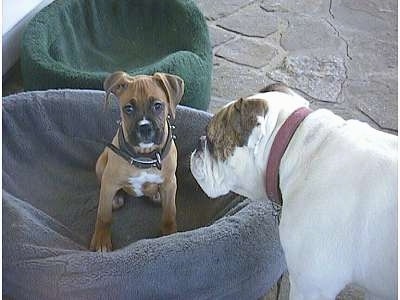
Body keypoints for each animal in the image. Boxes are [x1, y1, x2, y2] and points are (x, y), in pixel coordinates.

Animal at [90, 71, 183, 252]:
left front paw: (169, 234)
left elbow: (170, 213)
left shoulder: (170, 183)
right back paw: (117, 198)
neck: (145, 156)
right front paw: (101, 240)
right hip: (101, 164)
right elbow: (104, 215)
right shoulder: (109, 182)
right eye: (129, 109)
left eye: (158, 106)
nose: (145, 128)